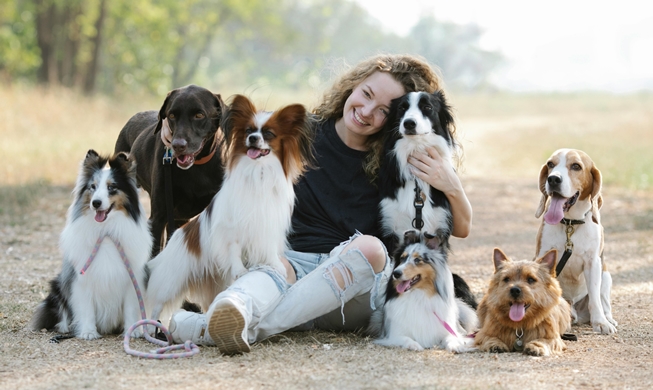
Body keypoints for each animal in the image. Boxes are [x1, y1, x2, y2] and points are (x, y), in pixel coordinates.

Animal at [29, 151, 151, 340]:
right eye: (92, 187)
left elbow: (131, 308)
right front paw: (88, 332)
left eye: (111, 187)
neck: (106, 232)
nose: (96, 203)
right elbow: (86, 308)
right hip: (58, 285)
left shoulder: (132, 278)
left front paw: (133, 330)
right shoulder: (81, 279)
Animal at [145, 95, 314, 322]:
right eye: (248, 130)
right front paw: (240, 270)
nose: (253, 138)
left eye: (269, 134)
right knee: (157, 305)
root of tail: (177, 235)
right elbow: (234, 248)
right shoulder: (231, 226)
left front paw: (275, 265)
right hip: (171, 282)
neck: (258, 172)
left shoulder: (268, 223)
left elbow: (269, 248)